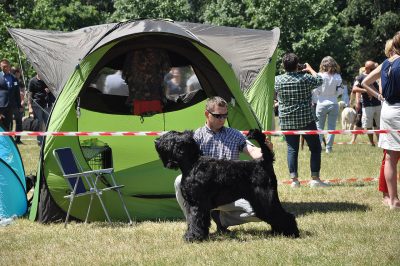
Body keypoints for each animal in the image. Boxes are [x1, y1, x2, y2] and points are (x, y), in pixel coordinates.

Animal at [155, 129, 298, 241]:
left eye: (169, 138)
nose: (156, 141)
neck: (193, 164)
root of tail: (264, 162)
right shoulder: (193, 204)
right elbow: (192, 220)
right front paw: (196, 235)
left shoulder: (197, 203)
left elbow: (195, 219)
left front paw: (193, 237)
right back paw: (278, 232)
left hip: (265, 199)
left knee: (284, 215)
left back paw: (292, 233)